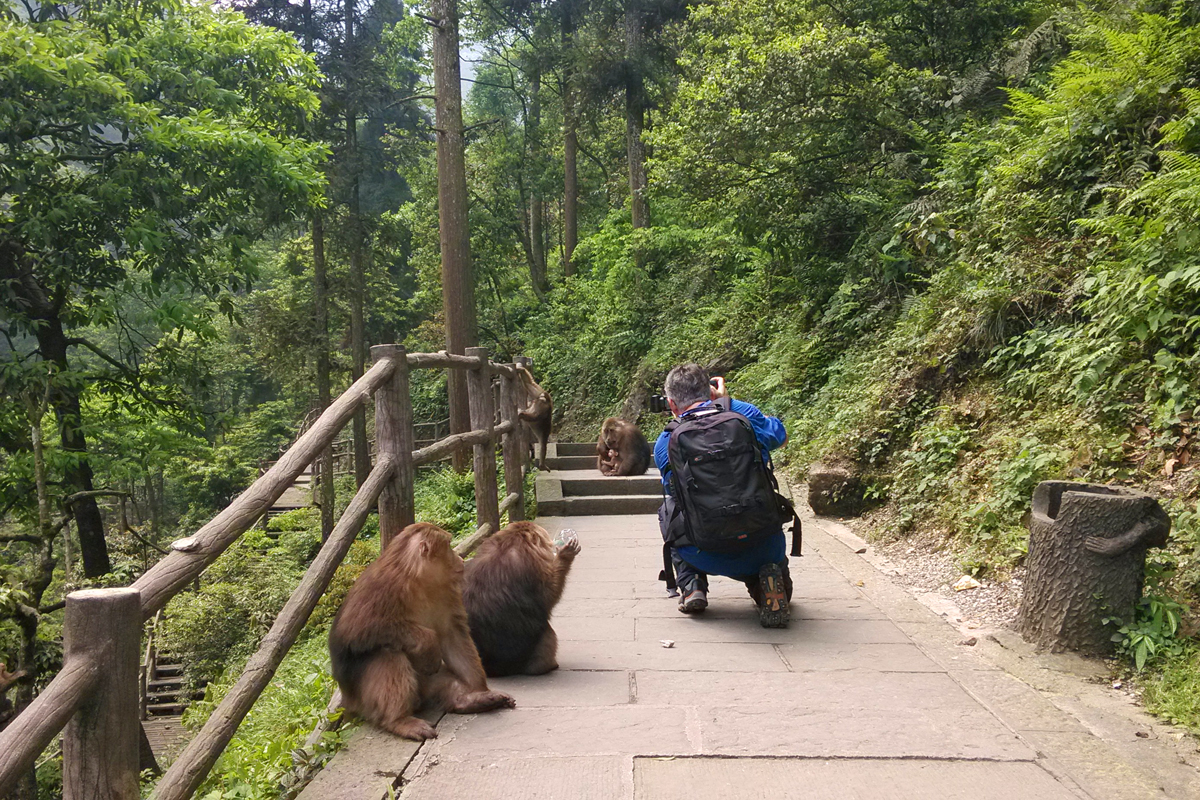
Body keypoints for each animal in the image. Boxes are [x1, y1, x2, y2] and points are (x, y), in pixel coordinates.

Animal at [328, 522, 516, 743]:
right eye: (448, 545)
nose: (459, 558)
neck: (418, 581)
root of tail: (348, 701)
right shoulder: (381, 588)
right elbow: (354, 632)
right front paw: (429, 644)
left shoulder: (448, 591)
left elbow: (453, 635)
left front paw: (481, 691)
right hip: (364, 700)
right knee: (387, 654)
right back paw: (399, 720)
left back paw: (466, 700)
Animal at [460, 522, 578, 681]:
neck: (508, 544)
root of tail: (497, 669)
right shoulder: (535, 565)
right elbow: (549, 595)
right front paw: (565, 555)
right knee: (547, 633)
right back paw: (547, 666)